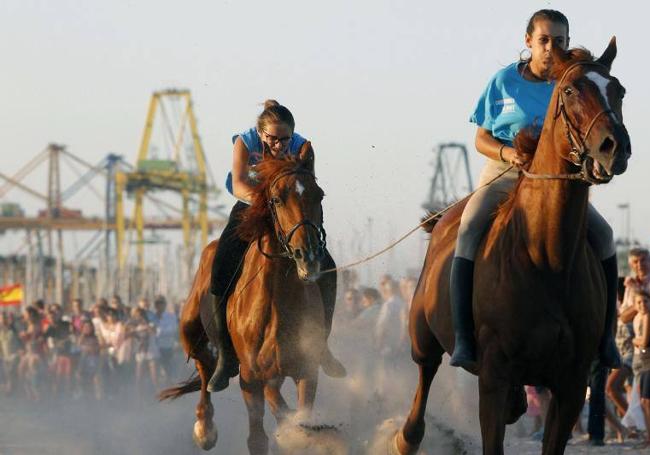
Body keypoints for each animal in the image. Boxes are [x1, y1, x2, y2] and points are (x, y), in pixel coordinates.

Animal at [158, 148, 332, 454]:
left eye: (318, 195)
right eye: (277, 199)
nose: (308, 256)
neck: (279, 304)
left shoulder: (307, 371)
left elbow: (300, 418)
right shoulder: (251, 378)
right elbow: (259, 436)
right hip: (190, 332)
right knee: (205, 370)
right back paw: (205, 428)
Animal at [390, 39, 628, 455]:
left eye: (619, 90)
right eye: (570, 90)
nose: (614, 147)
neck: (545, 257)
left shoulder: (570, 385)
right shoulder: (494, 378)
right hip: (422, 336)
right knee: (425, 377)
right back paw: (406, 437)